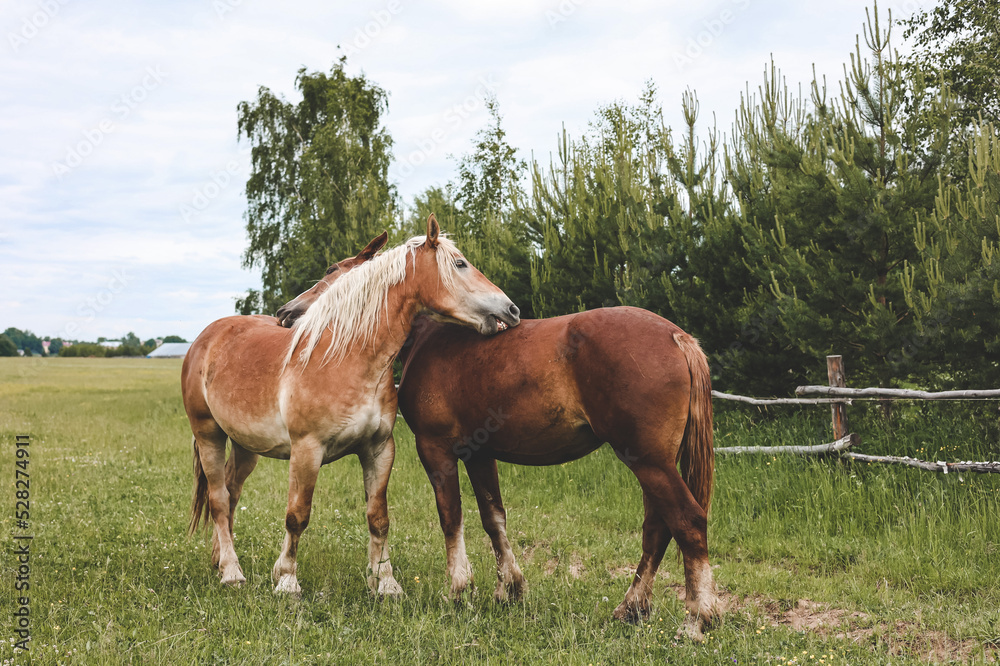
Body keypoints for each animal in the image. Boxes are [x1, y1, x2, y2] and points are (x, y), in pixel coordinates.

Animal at [183, 218, 520, 596]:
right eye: (461, 264)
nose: (511, 310)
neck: (347, 358)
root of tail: (207, 336)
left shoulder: (379, 449)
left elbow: (378, 518)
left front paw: (386, 583)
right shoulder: (307, 451)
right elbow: (297, 516)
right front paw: (286, 581)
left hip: (245, 446)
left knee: (230, 493)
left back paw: (220, 560)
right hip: (209, 435)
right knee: (218, 499)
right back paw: (231, 572)